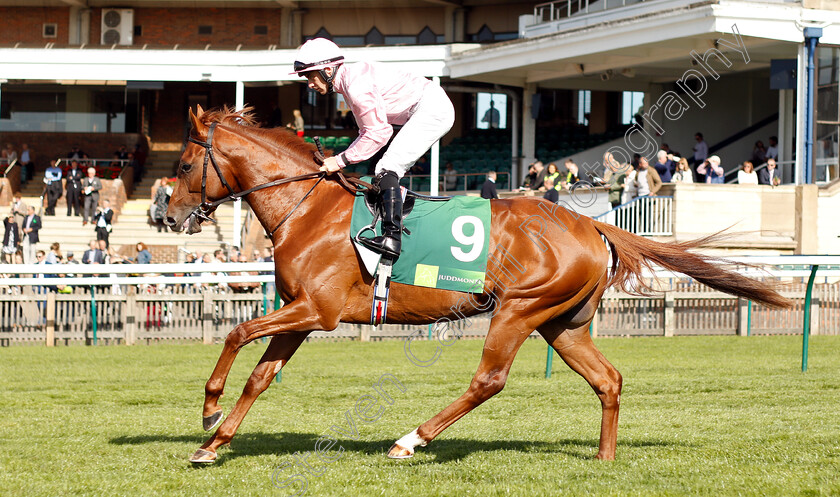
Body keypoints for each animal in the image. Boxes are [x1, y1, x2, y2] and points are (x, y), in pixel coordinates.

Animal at [167, 106, 792, 464]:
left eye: (182, 164)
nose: (168, 217)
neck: (309, 207)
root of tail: (589, 222)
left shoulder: (315, 310)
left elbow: (235, 334)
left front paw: (208, 410)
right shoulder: (300, 312)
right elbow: (260, 376)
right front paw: (213, 445)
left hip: (519, 309)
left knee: (489, 379)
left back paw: (409, 441)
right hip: (562, 323)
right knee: (608, 379)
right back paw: (604, 458)